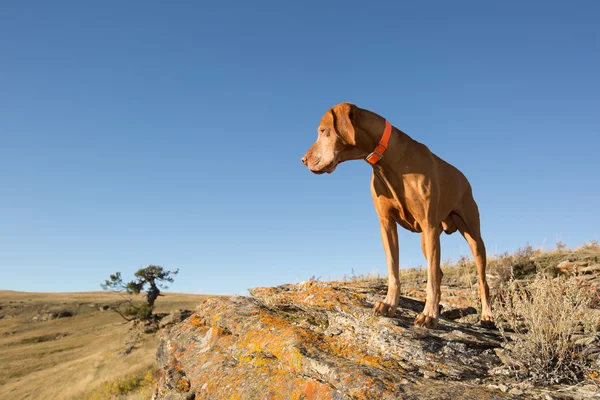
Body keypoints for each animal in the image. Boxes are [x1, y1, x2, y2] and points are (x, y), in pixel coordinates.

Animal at [300, 102, 492, 328]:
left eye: (323, 131)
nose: (303, 160)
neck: (387, 161)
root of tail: (464, 178)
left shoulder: (428, 224)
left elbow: (431, 278)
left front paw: (428, 315)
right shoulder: (387, 225)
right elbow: (393, 271)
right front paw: (389, 304)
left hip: (472, 237)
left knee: (481, 280)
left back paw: (487, 316)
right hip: (427, 240)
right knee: (438, 271)